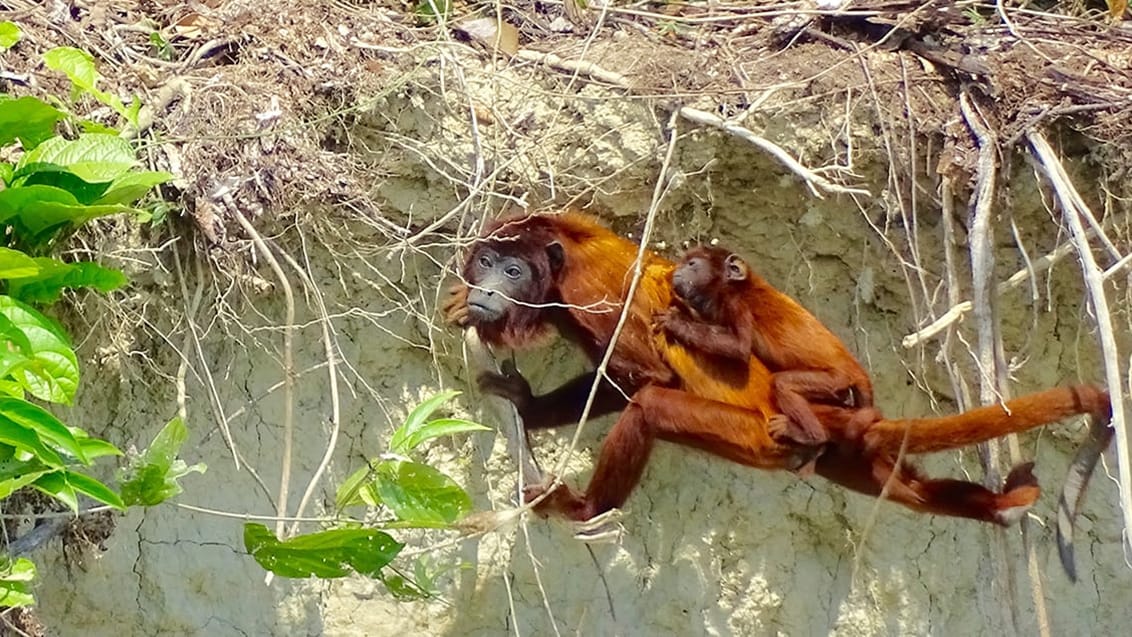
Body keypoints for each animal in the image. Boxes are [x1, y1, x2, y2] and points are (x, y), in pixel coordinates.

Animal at [656, 244, 873, 448]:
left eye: (692, 264)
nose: (677, 271)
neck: (732, 286)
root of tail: (855, 367)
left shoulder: (736, 303)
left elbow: (739, 347)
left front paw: (676, 322)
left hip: (836, 379)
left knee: (782, 383)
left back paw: (811, 436)